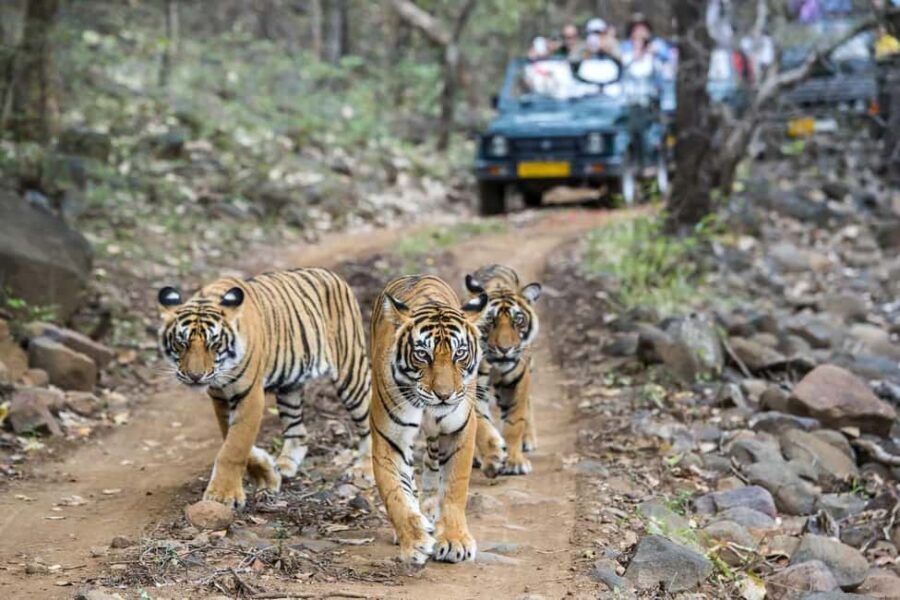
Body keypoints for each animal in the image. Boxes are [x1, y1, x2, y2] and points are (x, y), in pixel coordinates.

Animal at [157, 268, 372, 508]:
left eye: (214, 344)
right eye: (181, 343)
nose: (195, 376)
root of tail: (331, 274)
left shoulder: (249, 394)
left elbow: (235, 446)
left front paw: (223, 495)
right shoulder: (220, 398)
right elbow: (231, 438)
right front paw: (267, 474)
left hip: (351, 371)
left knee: (368, 421)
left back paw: (364, 468)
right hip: (290, 387)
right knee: (298, 431)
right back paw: (285, 465)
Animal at [369, 275, 487, 565]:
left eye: (459, 353)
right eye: (423, 354)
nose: (443, 395)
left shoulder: (459, 430)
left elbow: (455, 487)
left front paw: (455, 541)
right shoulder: (389, 438)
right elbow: (395, 493)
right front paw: (414, 541)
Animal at [465, 264, 542, 476]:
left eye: (518, 321)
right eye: (490, 321)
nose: (505, 349)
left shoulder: (517, 380)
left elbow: (514, 421)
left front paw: (515, 462)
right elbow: (481, 423)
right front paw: (493, 457)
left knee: (529, 402)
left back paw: (528, 440)